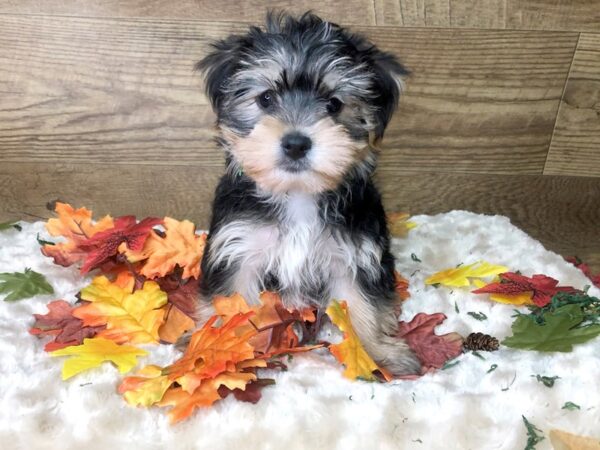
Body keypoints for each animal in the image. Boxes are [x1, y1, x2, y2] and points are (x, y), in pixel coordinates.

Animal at [195, 11, 420, 376]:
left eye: (334, 104)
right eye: (266, 98)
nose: (296, 143)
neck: (298, 194)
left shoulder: (354, 254)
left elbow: (362, 304)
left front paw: (375, 353)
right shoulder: (239, 247)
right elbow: (234, 303)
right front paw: (227, 350)